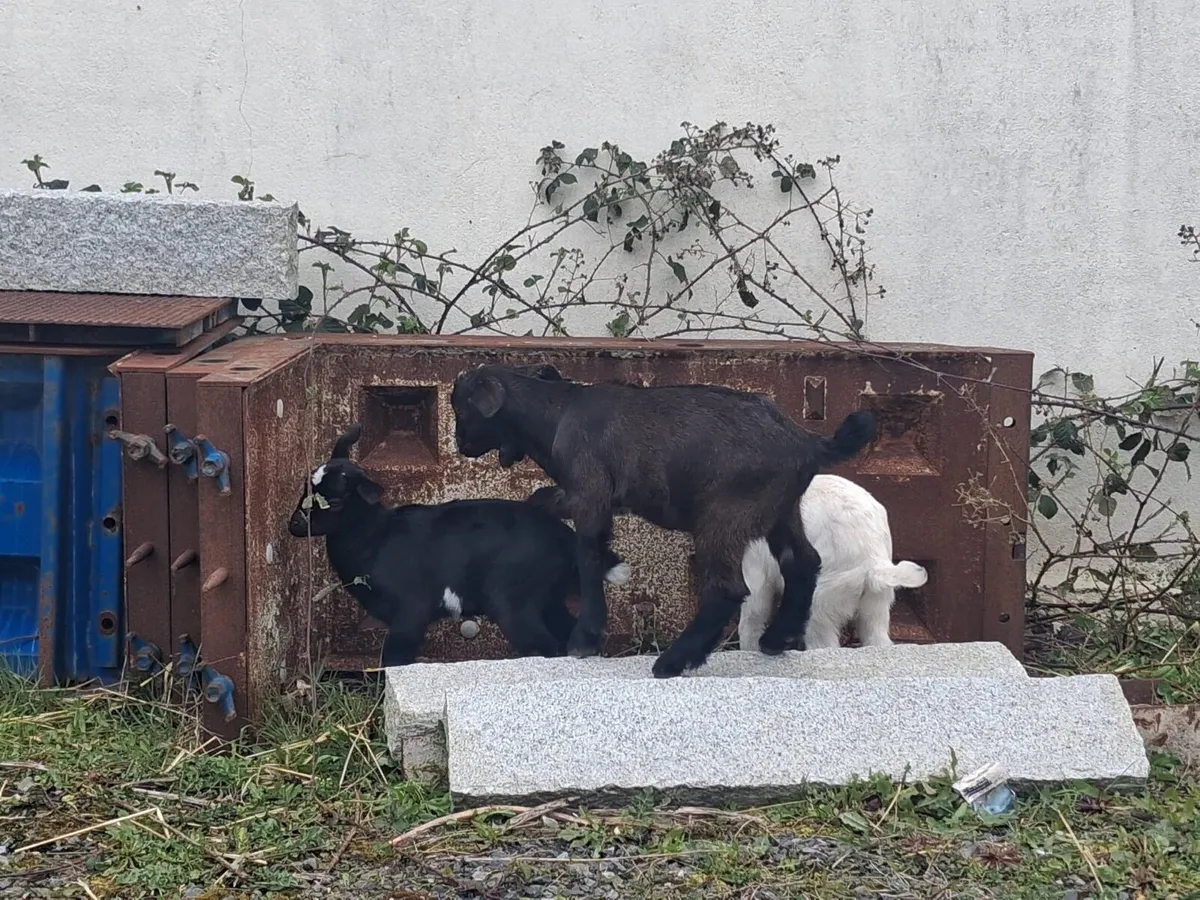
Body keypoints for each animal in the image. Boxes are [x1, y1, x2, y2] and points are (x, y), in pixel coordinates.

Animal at [286, 424, 630, 667]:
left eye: (335, 501)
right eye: (304, 488)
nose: (294, 526)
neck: (375, 538)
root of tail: (565, 539)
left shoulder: (410, 611)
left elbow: (395, 660)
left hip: (514, 599)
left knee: (542, 645)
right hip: (547, 598)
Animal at [450, 363, 877, 678]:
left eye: (460, 408)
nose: (460, 445)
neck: (555, 413)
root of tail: (807, 442)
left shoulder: (591, 496)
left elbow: (588, 557)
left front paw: (586, 638)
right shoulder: (578, 496)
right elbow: (541, 501)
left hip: (724, 518)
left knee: (727, 588)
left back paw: (675, 661)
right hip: (781, 511)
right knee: (802, 562)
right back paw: (779, 638)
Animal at [737, 474, 929, 651]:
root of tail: (872, 558)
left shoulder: (755, 564)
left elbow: (754, 611)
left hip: (825, 592)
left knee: (822, 637)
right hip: (876, 598)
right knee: (876, 633)